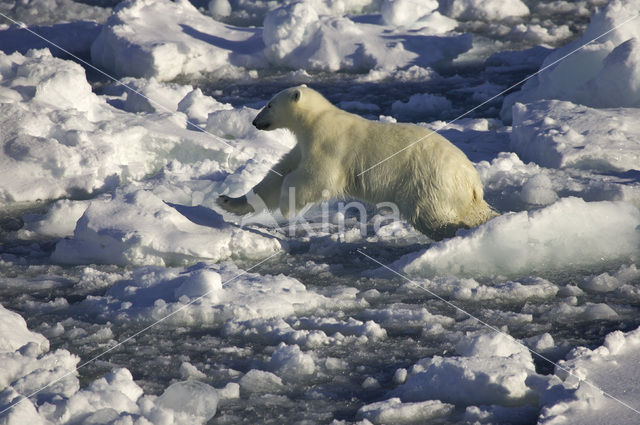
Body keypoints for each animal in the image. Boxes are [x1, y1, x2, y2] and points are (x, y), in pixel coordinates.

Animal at [218, 84, 498, 240]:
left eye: (269, 104)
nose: (255, 121)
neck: (316, 120)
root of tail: (473, 181)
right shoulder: (302, 148)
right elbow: (275, 178)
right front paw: (227, 200)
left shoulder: (329, 143)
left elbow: (315, 178)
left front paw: (288, 206)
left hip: (428, 182)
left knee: (432, 217)